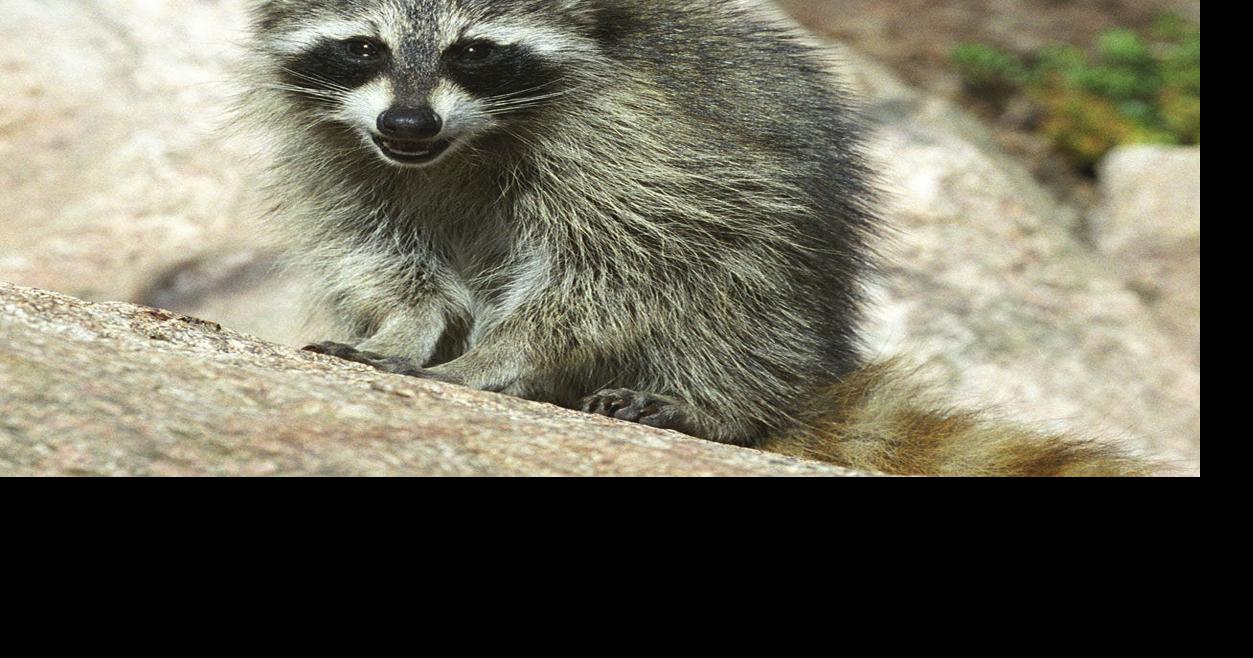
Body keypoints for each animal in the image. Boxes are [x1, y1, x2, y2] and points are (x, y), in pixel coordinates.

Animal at [239, 0, 1157, 476]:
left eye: (475, 52)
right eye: (363, 47)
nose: (407, 123)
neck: (462, 142)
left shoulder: (639, 145)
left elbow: (615, 271)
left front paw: (500, 354)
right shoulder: (339, 147)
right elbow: (375, 243)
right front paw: (407, 324)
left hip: (780, 289)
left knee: (731, 276)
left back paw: (713, 404)